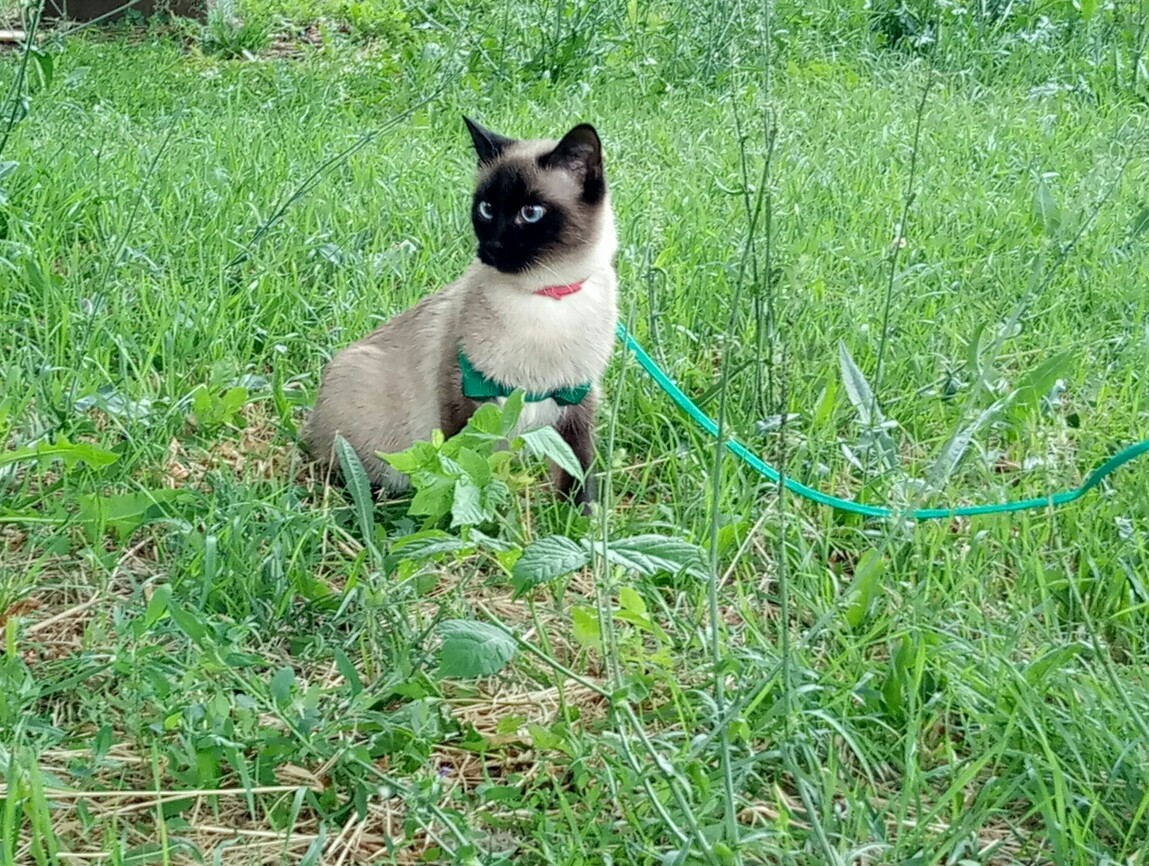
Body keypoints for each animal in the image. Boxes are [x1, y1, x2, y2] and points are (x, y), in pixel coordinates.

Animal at [298, 114, 620, 505]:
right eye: (486, 208)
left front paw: (579, 519)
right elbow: (464, 468)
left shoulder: (576, 397)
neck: (545, 298)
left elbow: (579, 471)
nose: (491, 247)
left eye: (530, 213)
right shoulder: (465, 391)